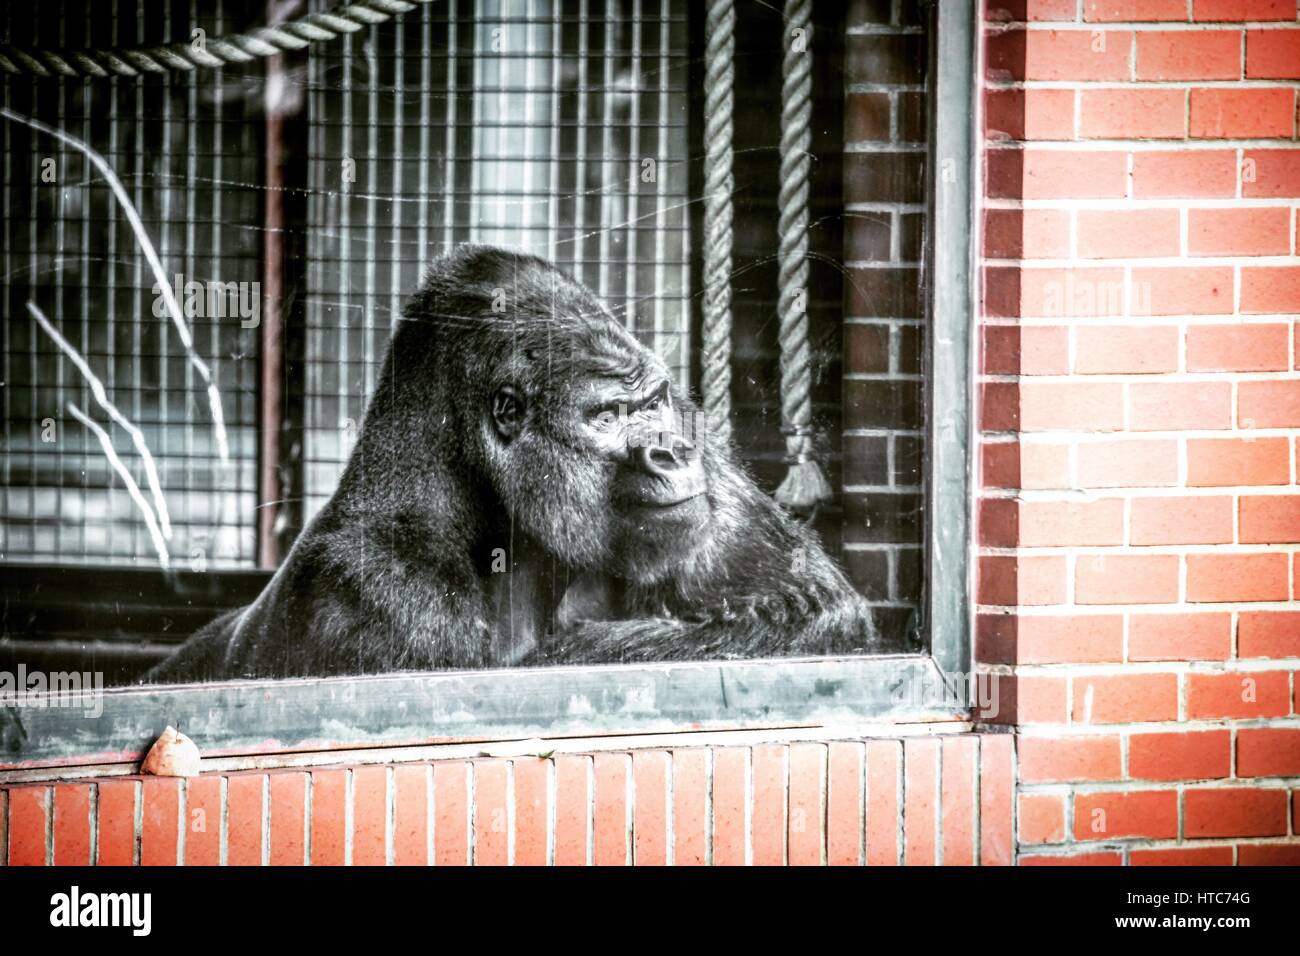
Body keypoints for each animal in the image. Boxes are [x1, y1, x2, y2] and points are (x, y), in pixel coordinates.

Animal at [149, 244, 883, 681]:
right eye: (606, 417)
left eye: (653, 403)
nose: (670, 450)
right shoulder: (379, 590)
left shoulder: (712, 478)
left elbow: (820, 610)